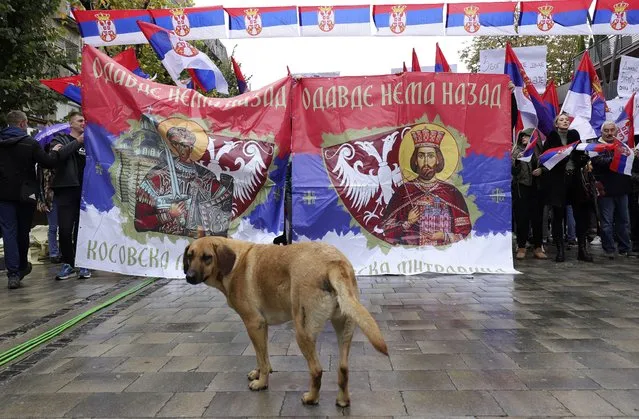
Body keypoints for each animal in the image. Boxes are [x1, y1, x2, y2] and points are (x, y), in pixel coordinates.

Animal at [182, 238, 388, 408]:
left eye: (207, 257)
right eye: (190, 256)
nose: (189, 276)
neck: (235, 263)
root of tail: (334, 263)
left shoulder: (253, 323)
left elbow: (262, 358)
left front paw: (261, 382)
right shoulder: (261, 327)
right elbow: (262, 355)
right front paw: (259, 372)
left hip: (302, 332)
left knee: (316, 370)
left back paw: (311, 398)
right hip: (344, 329)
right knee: (343, 368)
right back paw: (343, 400)